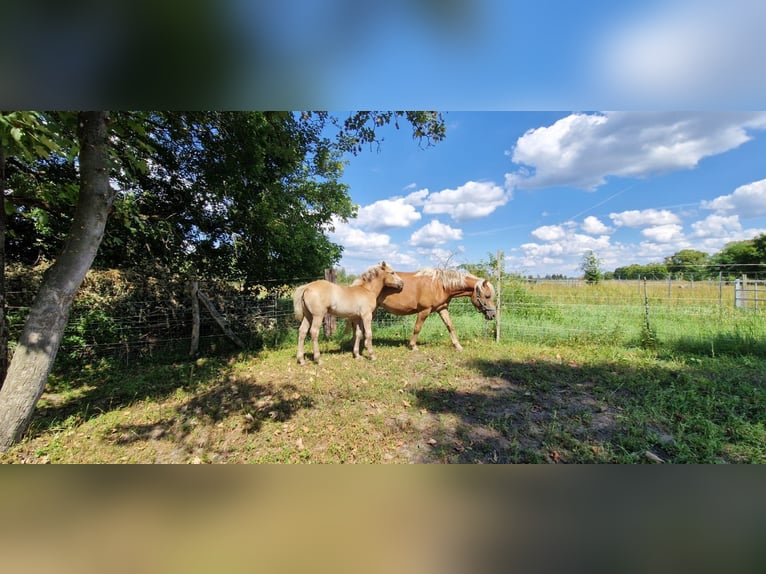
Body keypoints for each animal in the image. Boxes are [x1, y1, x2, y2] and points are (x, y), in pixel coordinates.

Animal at [368, 268, 498, 354]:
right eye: (487, 296)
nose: (492, 315)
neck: (439, 286)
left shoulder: (442, 308)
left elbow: (450, 326)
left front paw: (458, 346)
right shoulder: (424, 310)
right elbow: (417, 328)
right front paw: (413, 346)